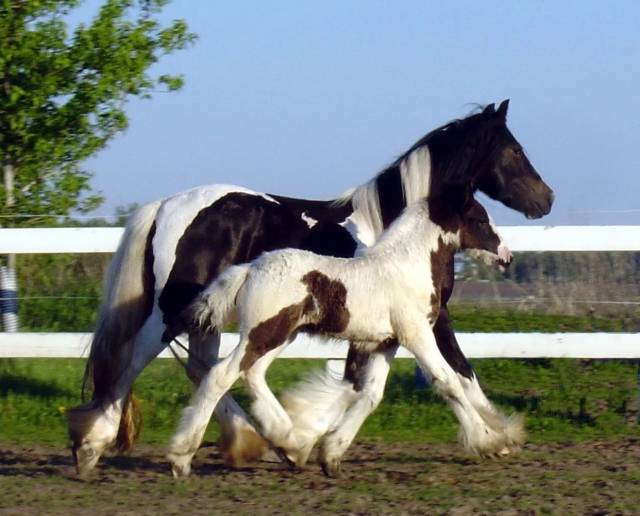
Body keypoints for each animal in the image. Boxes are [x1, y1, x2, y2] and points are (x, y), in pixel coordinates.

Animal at [169, 197, 520, 476]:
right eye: (479, 219)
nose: (507, 256)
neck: (405, 268)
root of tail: (249, 269)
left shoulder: (385, 343)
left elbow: (370, 395)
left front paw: (331, 455)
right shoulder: (417, 334)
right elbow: (448, 381)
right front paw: (490, 440)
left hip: (280, 336)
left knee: (252, 374)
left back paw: (292, 446)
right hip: (262, 333)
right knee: (220, 375)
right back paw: (180, 458)